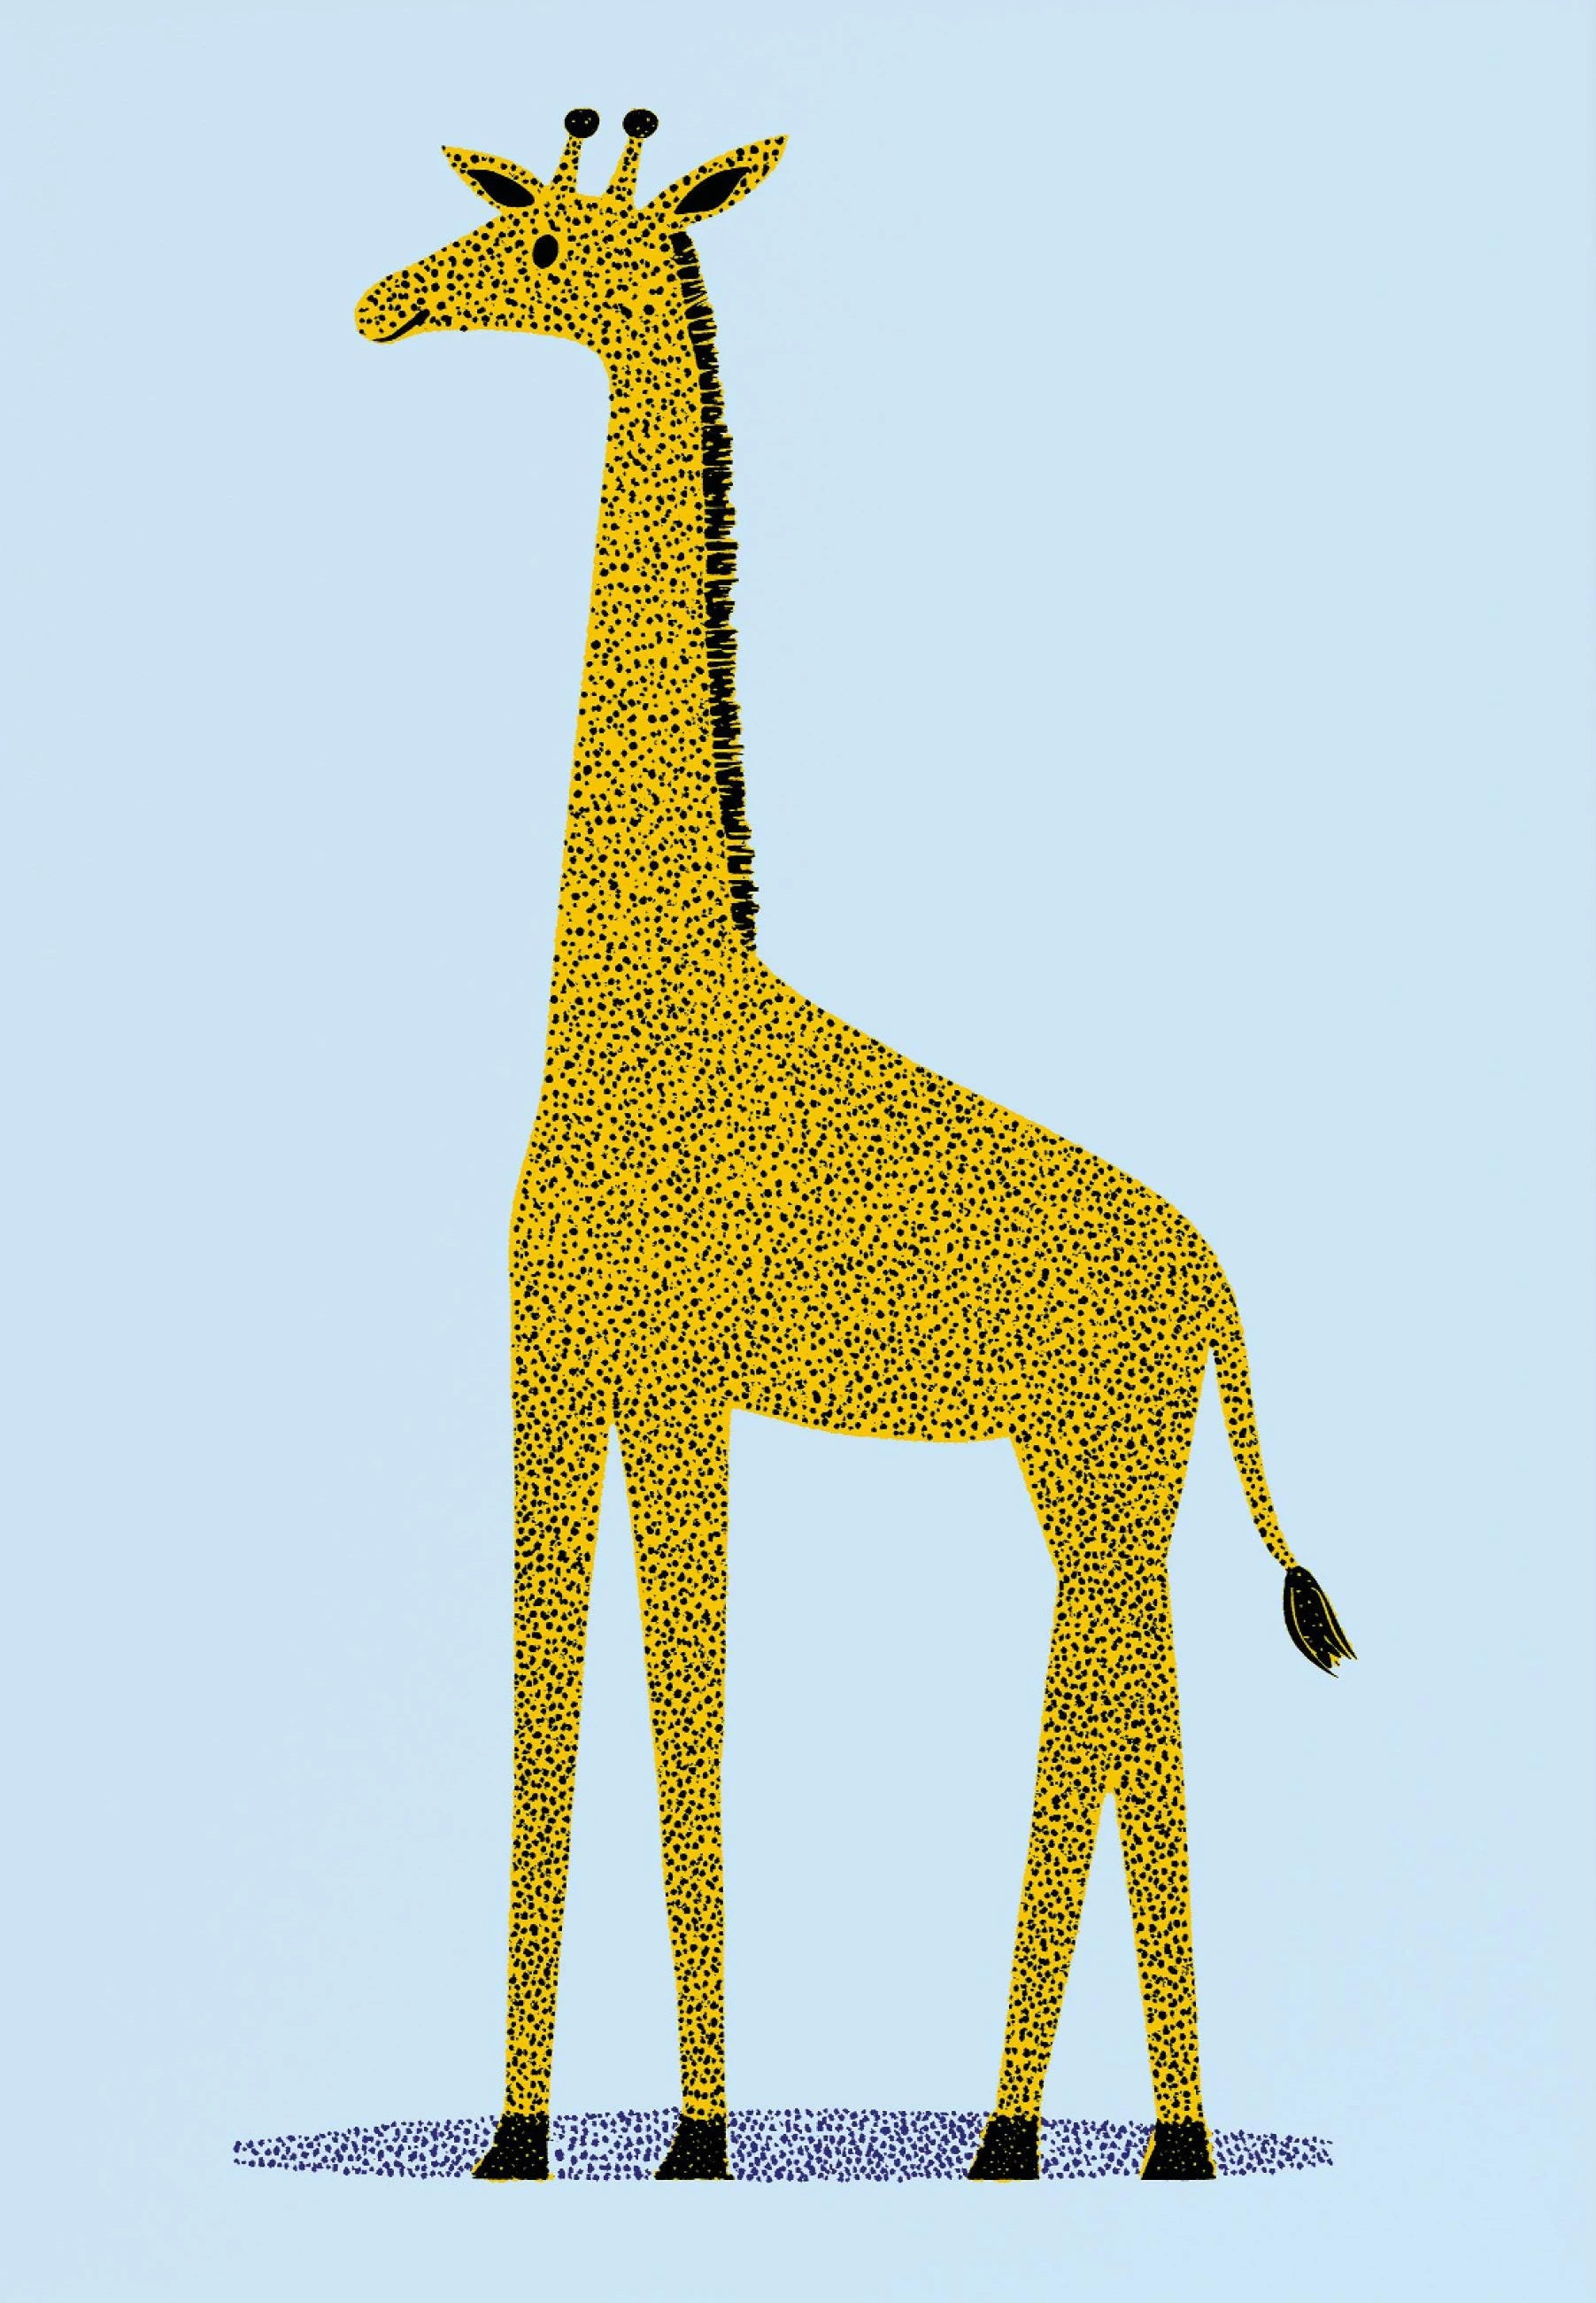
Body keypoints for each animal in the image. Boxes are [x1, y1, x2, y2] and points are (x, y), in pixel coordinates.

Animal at [355, 109, 1354, 2187]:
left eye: (546, 250)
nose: (381, 302)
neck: (644, 1002)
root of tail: (1215, 1277)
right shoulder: (553, 1374)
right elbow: (554, 1713)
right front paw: (522, 2141)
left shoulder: (666, 1382)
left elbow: (686, 1721)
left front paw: (685, 2142)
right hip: (1089, 1473)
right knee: (1111, 1708)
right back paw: (1050, 2139)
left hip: (1102, 1459)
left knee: (1122, 1714)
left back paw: (1107, 2146)